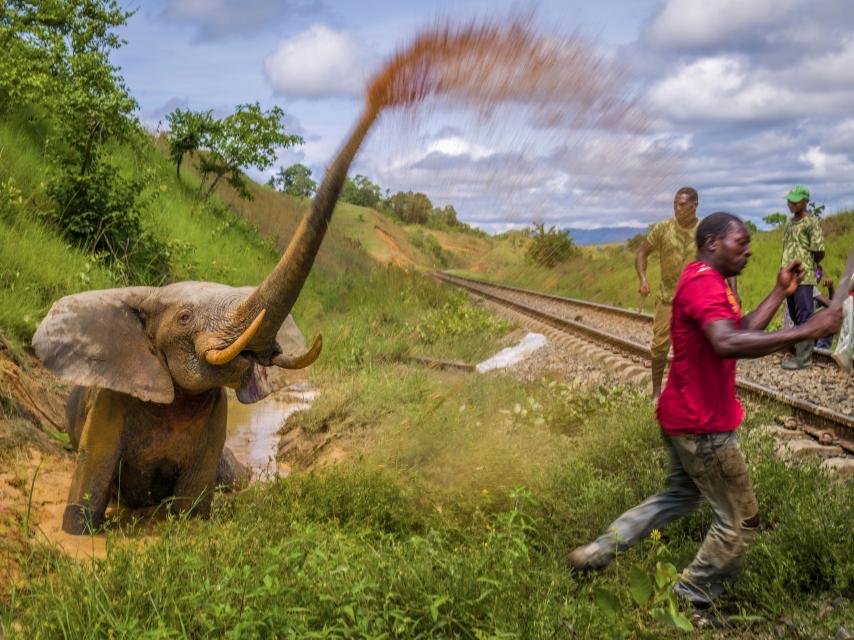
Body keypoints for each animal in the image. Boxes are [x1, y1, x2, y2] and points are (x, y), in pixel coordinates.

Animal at [34, 102, 378, 532]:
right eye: (184, 317)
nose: (379, 99)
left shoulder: (216, 416)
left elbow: (193, 509)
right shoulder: (111, 402)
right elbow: (87, 492)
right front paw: (78, 533)